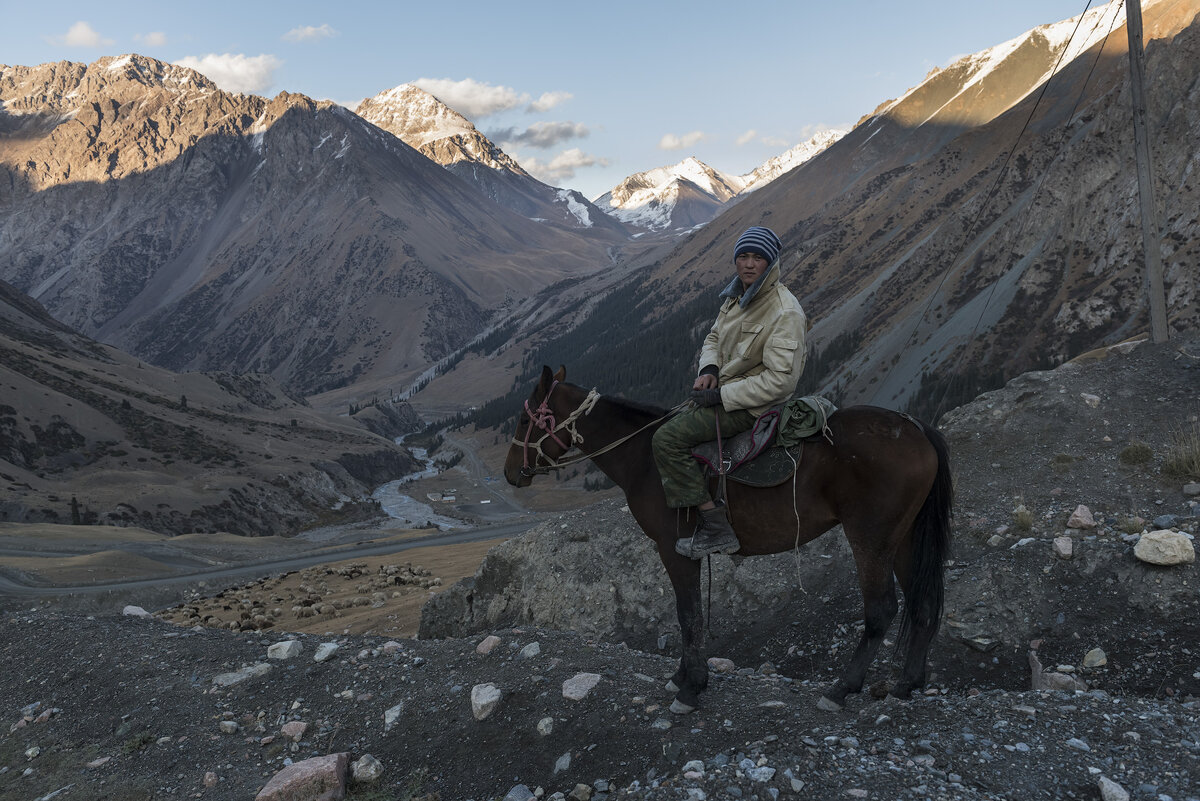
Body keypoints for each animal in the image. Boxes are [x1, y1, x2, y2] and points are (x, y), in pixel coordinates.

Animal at [501, 366, 950, 709]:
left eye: (524, 421)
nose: (509, 474)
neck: (645, 458)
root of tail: (915, 426)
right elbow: (693, 613)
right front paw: (684, 675)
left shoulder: (675, 550)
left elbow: (687, 614)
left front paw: (691, 686)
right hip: (904, 539)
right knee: (924, 602)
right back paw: (907, 683)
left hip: (871, 540)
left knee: (882, 609)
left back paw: (842, 688)